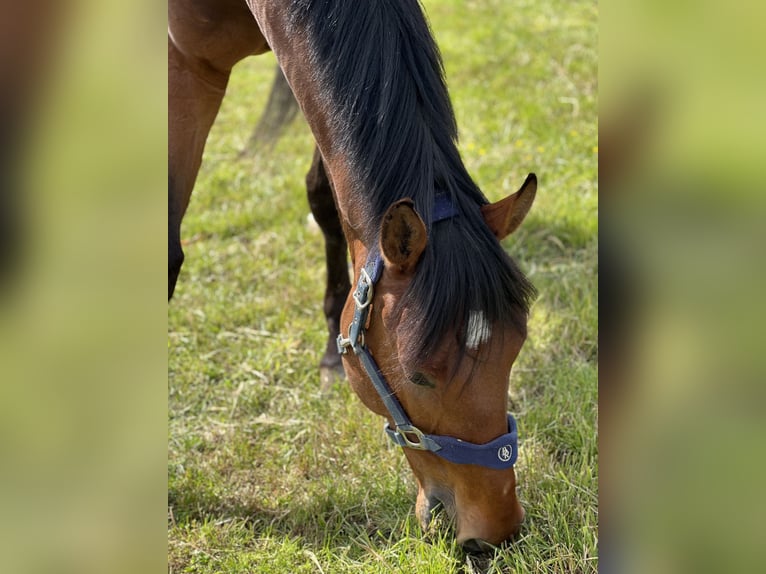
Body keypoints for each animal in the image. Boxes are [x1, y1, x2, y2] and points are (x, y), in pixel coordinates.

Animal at [168, 0, 540, 552]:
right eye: (418, 376)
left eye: (515, 350)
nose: (497, 530)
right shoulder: (188, 65)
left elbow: (326, 193)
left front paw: (329, 349)